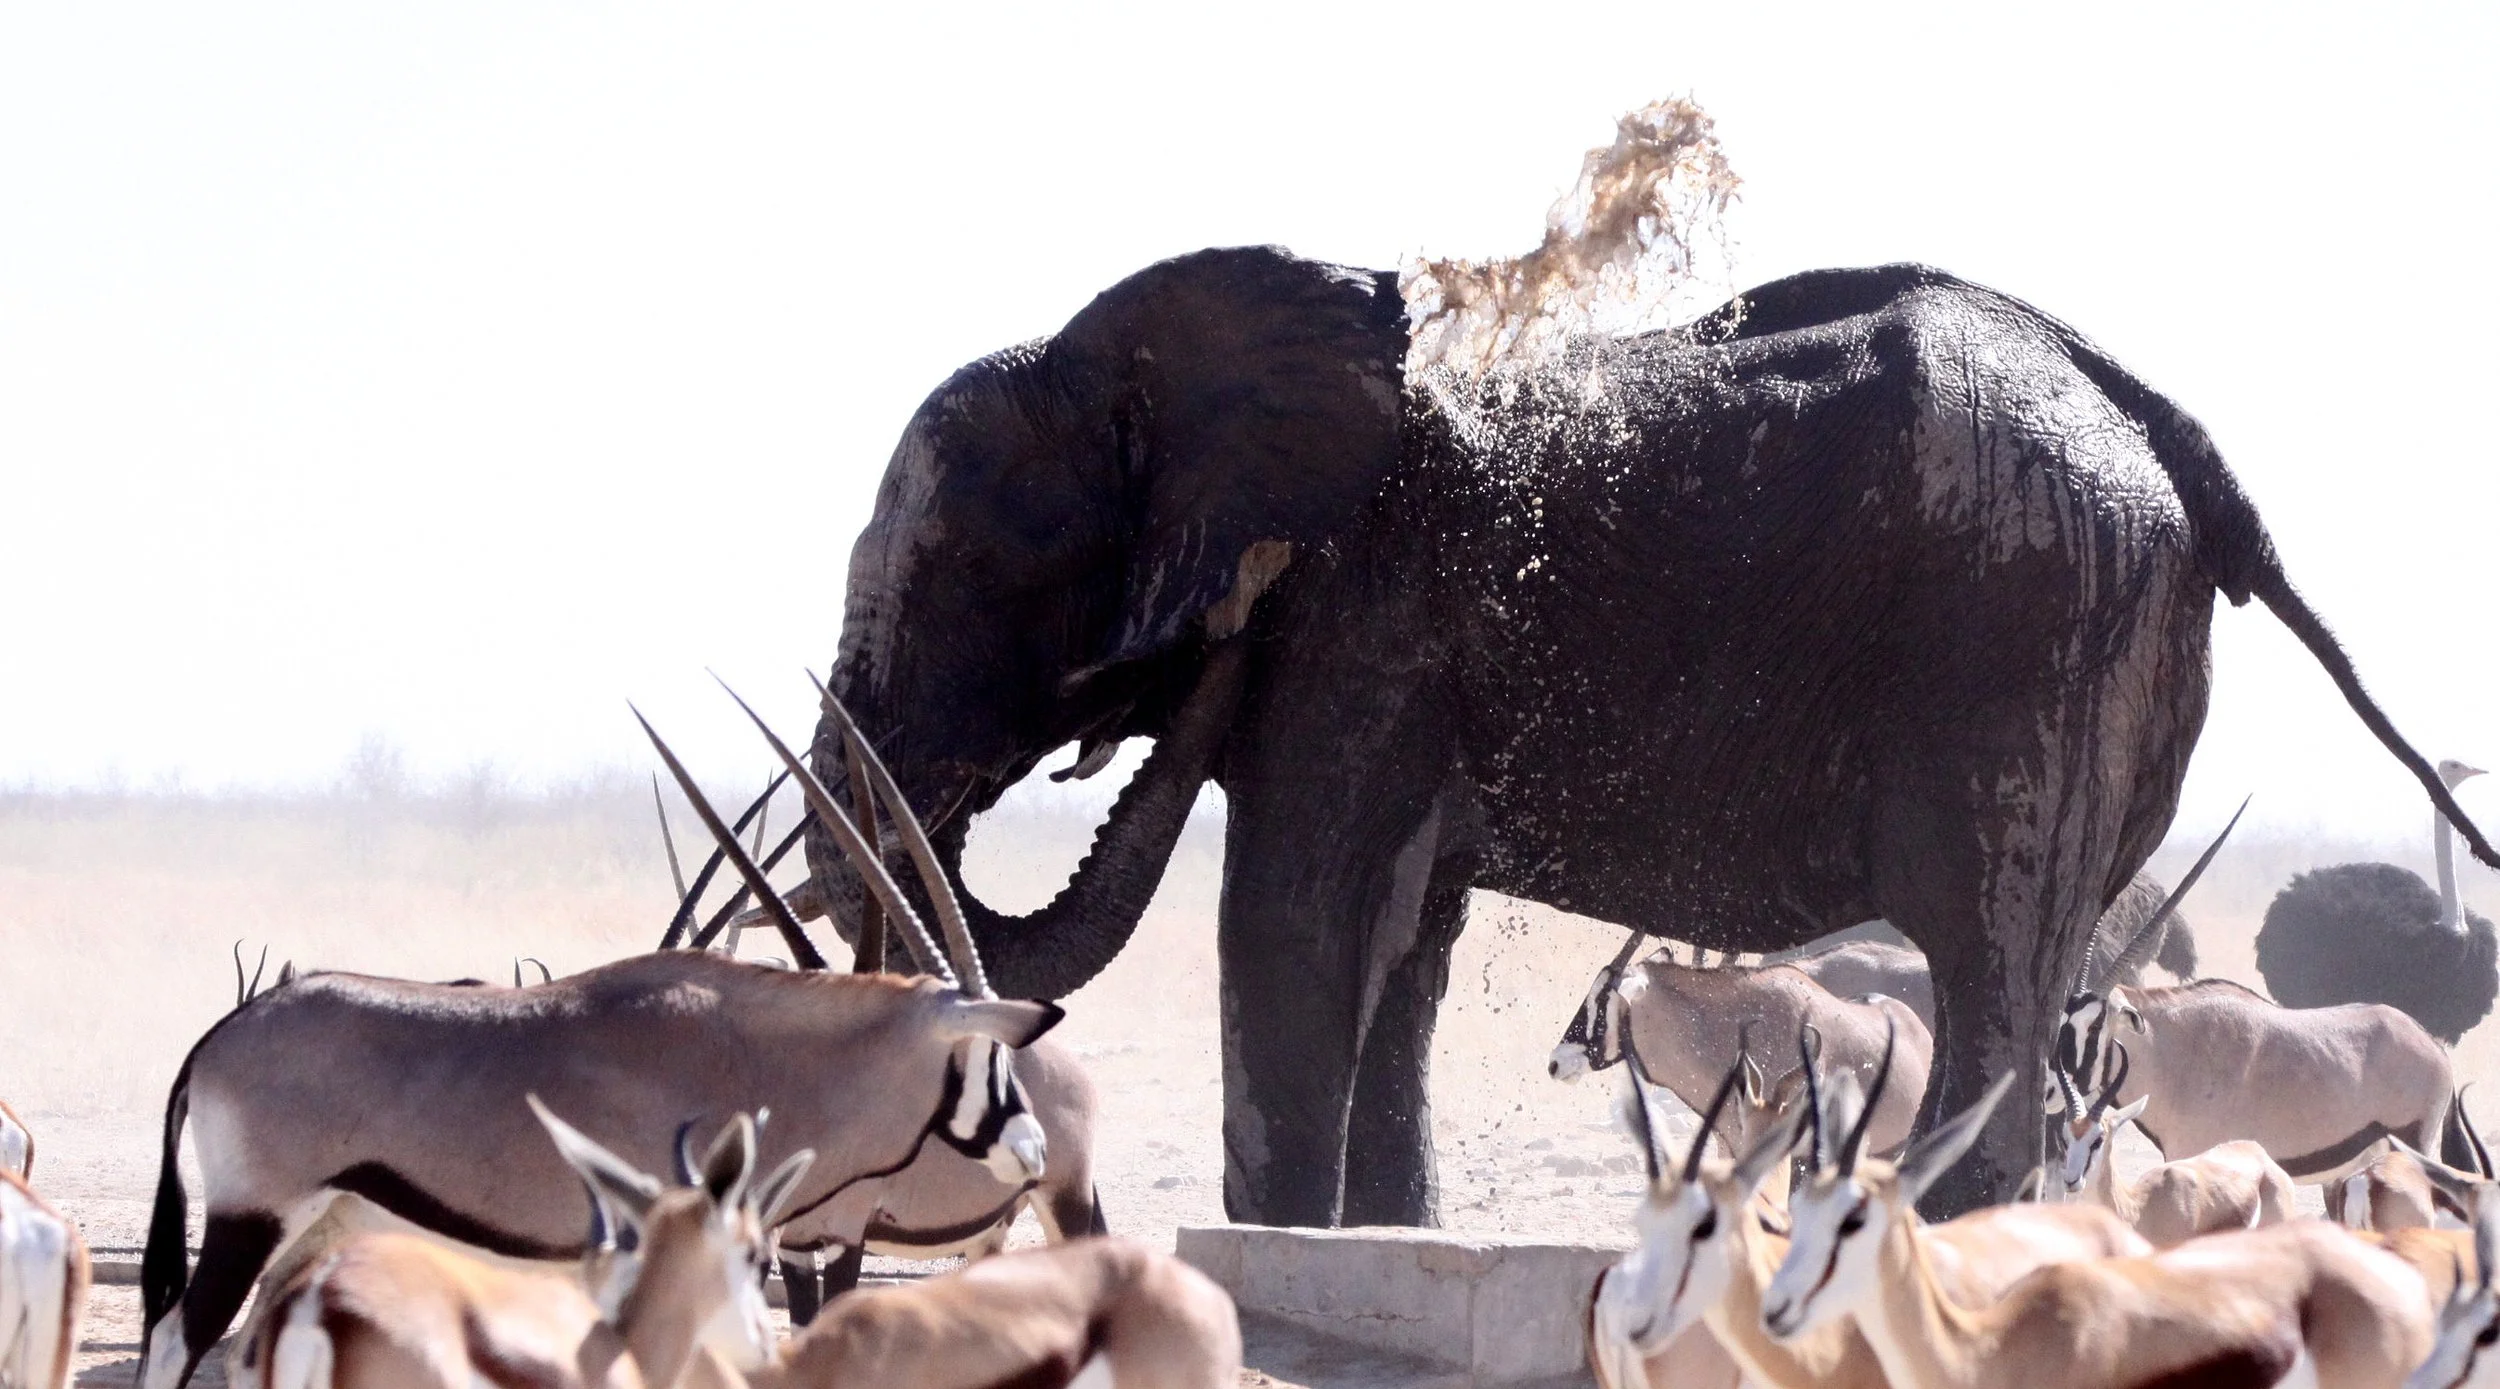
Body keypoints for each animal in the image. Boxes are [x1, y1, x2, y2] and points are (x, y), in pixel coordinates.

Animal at [800, 246, 2496, 1222]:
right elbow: (1398, 954)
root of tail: (2169, 426)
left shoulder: (1364, 630)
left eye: (963, 570)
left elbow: (1293, 917)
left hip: (2031, 628)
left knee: (1992, 972)